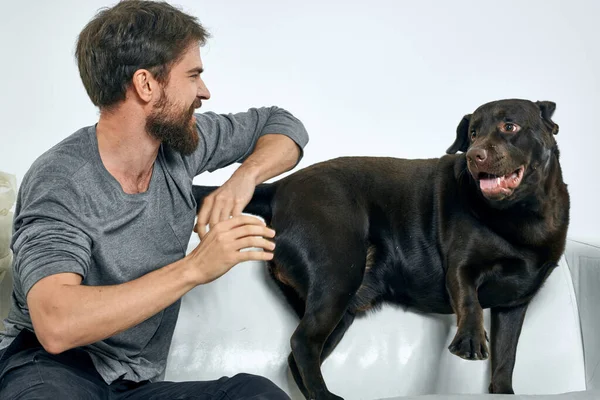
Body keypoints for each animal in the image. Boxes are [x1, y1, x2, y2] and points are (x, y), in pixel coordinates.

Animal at [193, 98, 572, 398]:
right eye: (474, 133)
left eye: (510, 126)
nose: (474, 156)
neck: (523, 216)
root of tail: (279, 187)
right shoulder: (462, 268)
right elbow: (471, 303)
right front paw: (470, 339)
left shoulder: (514, 305)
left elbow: (505, 362)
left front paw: (504, 391)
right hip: (337, 272)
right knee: (302, 344)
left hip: (339, 305)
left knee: (297, 354)